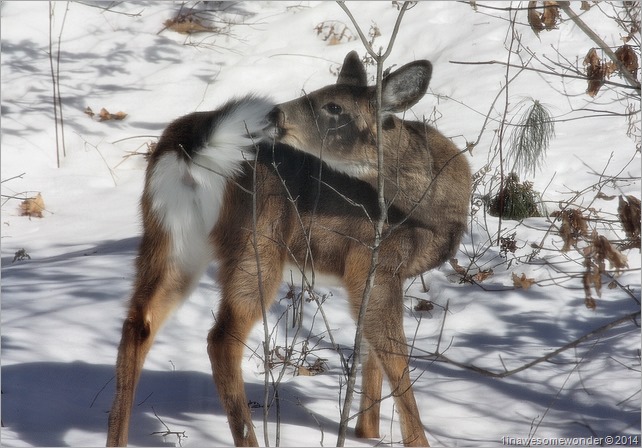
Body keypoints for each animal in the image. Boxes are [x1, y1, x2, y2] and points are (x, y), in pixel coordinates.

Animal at [107, 51, 471, 447]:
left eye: (334, 106)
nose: (276, 114)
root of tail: (189, 146)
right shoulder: (373, 262)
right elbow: (395, 357)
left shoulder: (376, 274)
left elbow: (371, 353)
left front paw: (366, 434)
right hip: (258, 241)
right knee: (221, 340)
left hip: (172, 238)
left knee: (137, 324)